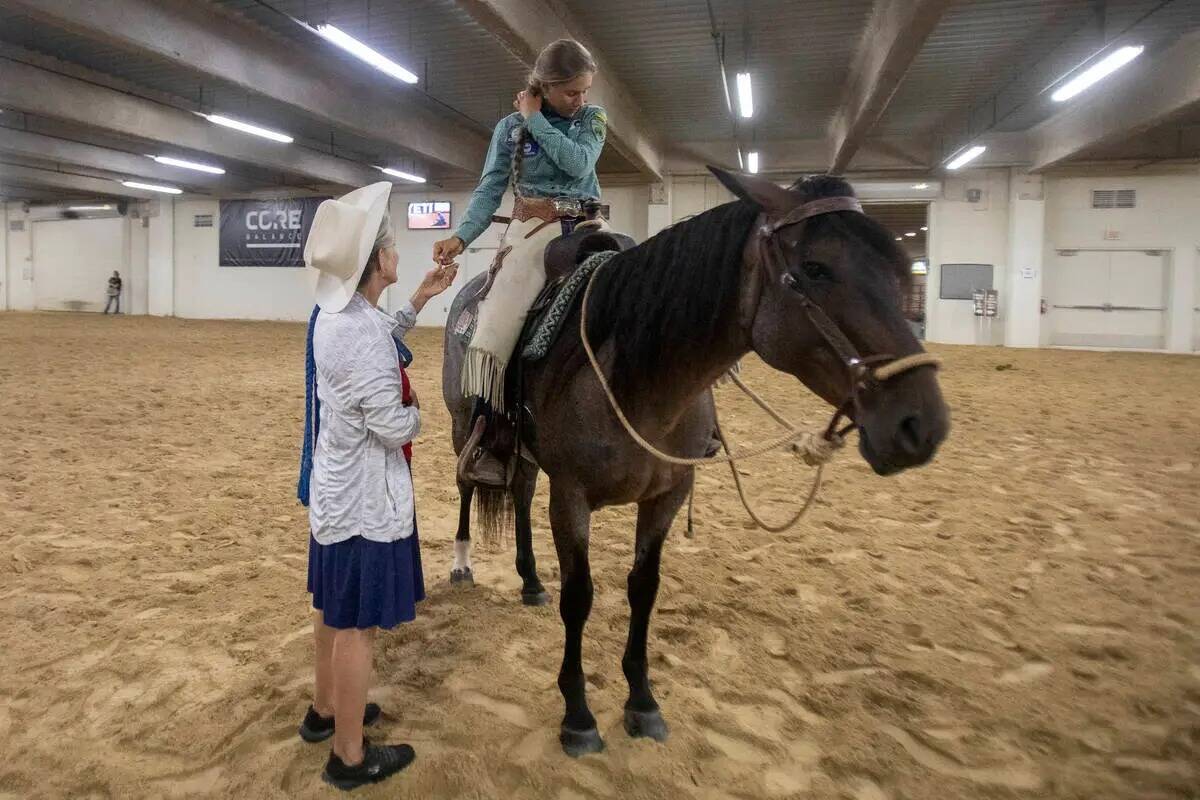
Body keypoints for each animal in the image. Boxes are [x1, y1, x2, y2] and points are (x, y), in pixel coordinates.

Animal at [446, 167, 950, 758]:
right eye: (815, 269)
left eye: (894, 270)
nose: (921, 424)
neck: (637, 375)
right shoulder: (571, 496)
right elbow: (580, 596)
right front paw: (578, 714)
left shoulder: (668, 494)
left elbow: (643, 588)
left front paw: (642, 701)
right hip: (465, 424)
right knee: (467, 483)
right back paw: (462, 563)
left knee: (521, 491)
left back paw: (528, 580)